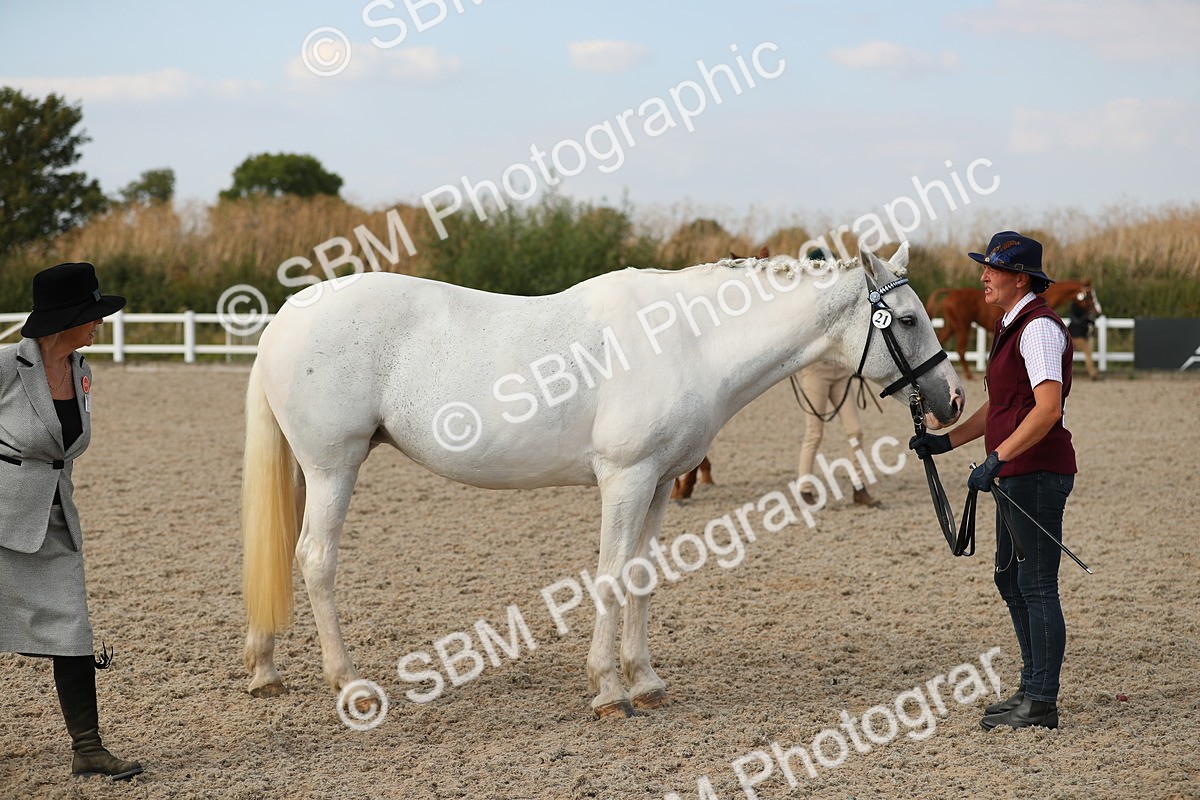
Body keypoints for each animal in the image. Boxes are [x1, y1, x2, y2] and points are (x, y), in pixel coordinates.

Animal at [242, 243, 965, 718]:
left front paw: (644, 680)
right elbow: (612, 577)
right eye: (906, 319)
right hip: (333, 466)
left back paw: (265, 670)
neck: (688, 340)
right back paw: (349, 685)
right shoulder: (625, 478)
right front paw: (610, 690)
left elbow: (642, 576)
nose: (954, 399)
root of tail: (287, 316)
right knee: (316, 559)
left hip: (309, 471)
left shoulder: (660, 484)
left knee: (282, 556)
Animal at [925, 280, 1095, 379]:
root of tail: (952, 292)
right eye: (1089, 295)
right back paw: (968, 375)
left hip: (951, 326)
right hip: (962, 327)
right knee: (960, 349)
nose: (1097, 311)